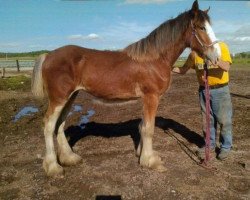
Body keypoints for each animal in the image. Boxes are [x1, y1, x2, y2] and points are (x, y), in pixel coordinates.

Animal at [31, 0, 221, 177]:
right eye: (201, 27)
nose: (216, 56)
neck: (154, 58)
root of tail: (48, 55)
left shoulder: (146, 99)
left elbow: (143, 126)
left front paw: (143, 154)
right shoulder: (151, 97)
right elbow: (149, 129)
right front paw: (150, 161)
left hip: (71, 96)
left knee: (60, 124)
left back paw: (69, 158)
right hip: (59, 98)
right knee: (49, 125)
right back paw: (53, 167)